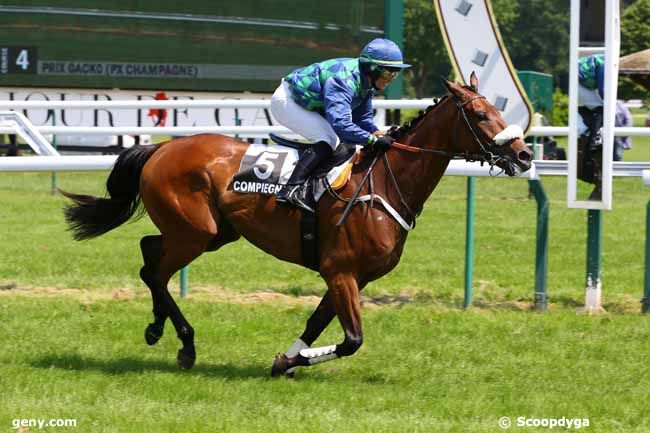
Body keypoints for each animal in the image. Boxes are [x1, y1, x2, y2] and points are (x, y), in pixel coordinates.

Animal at [58, 73, 528, 374]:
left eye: (498, 109)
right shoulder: (340, 270)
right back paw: (185, 345)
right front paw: (291, 361)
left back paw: (158, 328)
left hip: (210, 233)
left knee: (148, 253)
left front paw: (285, 360)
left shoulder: (352, 276)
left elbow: (317, 324)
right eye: (481, 116)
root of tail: (159, 149)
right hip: (196, 233)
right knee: (154, 269)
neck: (384, 181)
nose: (523, 155)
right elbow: (352, 339)